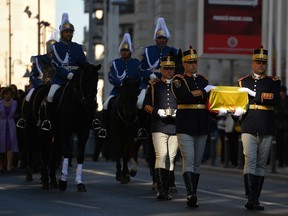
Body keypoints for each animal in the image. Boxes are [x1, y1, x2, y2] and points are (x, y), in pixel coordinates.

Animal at [51, 63, 100, 192]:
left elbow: (80, 155)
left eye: (97, 80)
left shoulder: (84, 132)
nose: (92, 105)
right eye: (85, 80)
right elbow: (67, 152)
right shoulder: (63, 130)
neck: (77, 106)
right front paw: (63, 181)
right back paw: (53, 179)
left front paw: (79, 182)